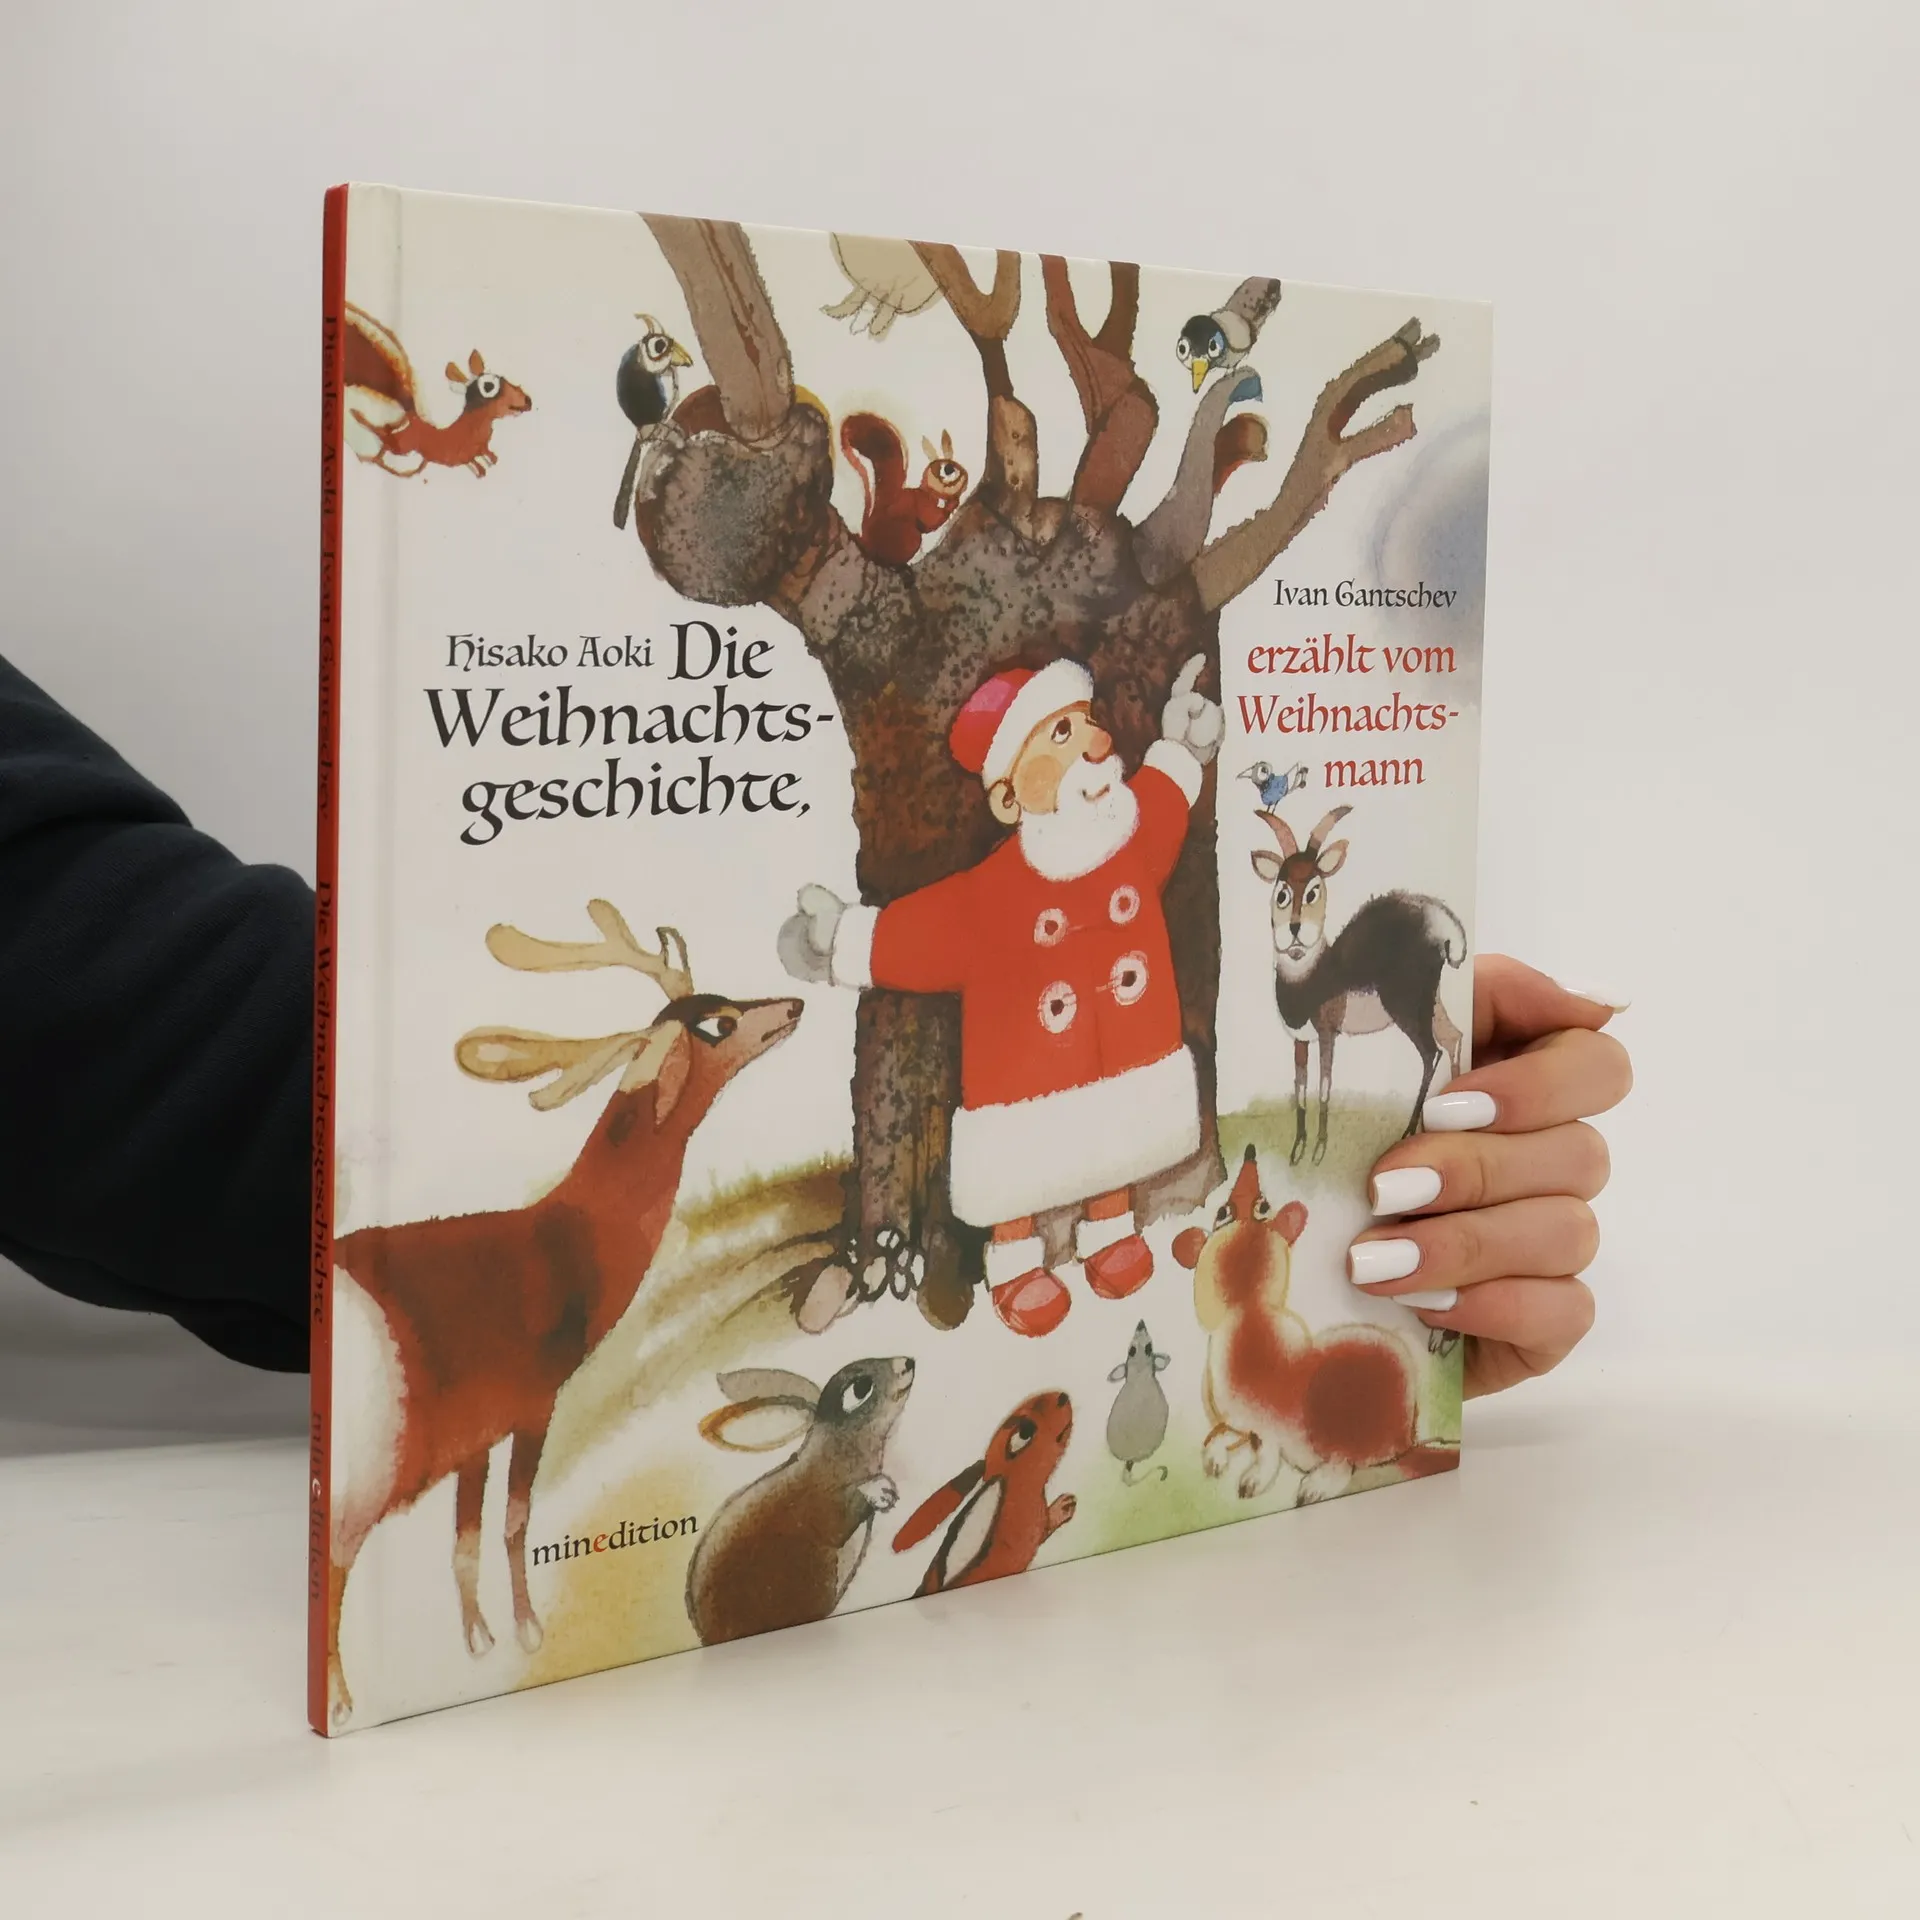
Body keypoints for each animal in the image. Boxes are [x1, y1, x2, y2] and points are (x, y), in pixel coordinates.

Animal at [324, 900, 802, 1729]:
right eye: (719, 1023)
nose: (795, 1005)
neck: (567, 1240)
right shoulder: (534, 1403)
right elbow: (515, 1520)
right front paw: (527, 1629)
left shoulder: (477, 1434)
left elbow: (464, 1534)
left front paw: (477, 1638)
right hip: (364, 1471)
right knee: (339, 1562)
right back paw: (345, 1698)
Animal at [686, 1356, 915, 1645]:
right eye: (860, 1388)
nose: (908, 1362)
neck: (837, 1451)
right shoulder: (826, 1506)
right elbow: (842, 1515)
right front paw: (881, 1490)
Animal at [1250, 804, 1467, 1164]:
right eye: (1281, 892)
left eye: (1314, 890)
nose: (1294, 929)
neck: (1312, 978)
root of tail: (1442, 924)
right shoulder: (1300, 1040)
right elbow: (1300, 1089)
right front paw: (1297, 1149)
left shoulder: (1328, 1035)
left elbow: (1324, 1087)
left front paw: (1319, 1151)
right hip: (1433, 1004)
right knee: (1455, 1038)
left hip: (1409, 1010)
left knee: (1431, 1052)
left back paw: (1409, 1131)